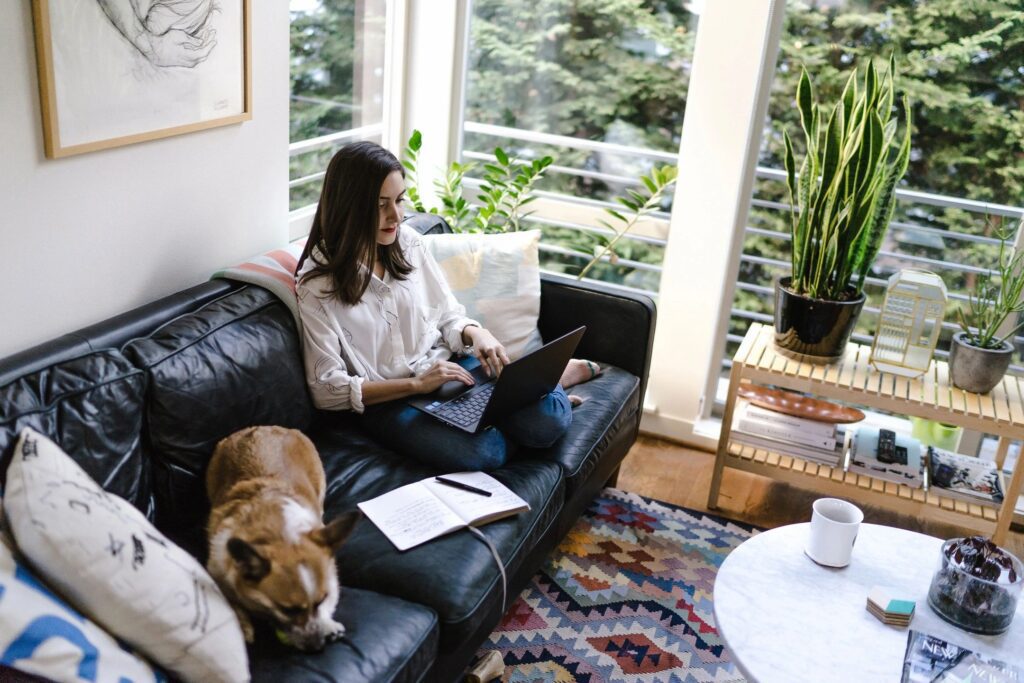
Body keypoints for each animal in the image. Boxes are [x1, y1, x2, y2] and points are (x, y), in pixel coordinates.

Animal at [203, 428, 360, 651]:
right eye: (288, 610)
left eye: (321, 600)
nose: (317, 647)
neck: (279, 534)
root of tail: (263, 427)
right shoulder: (216, 572)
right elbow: (230, 601)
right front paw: (242, 626)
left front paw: (328, 624)